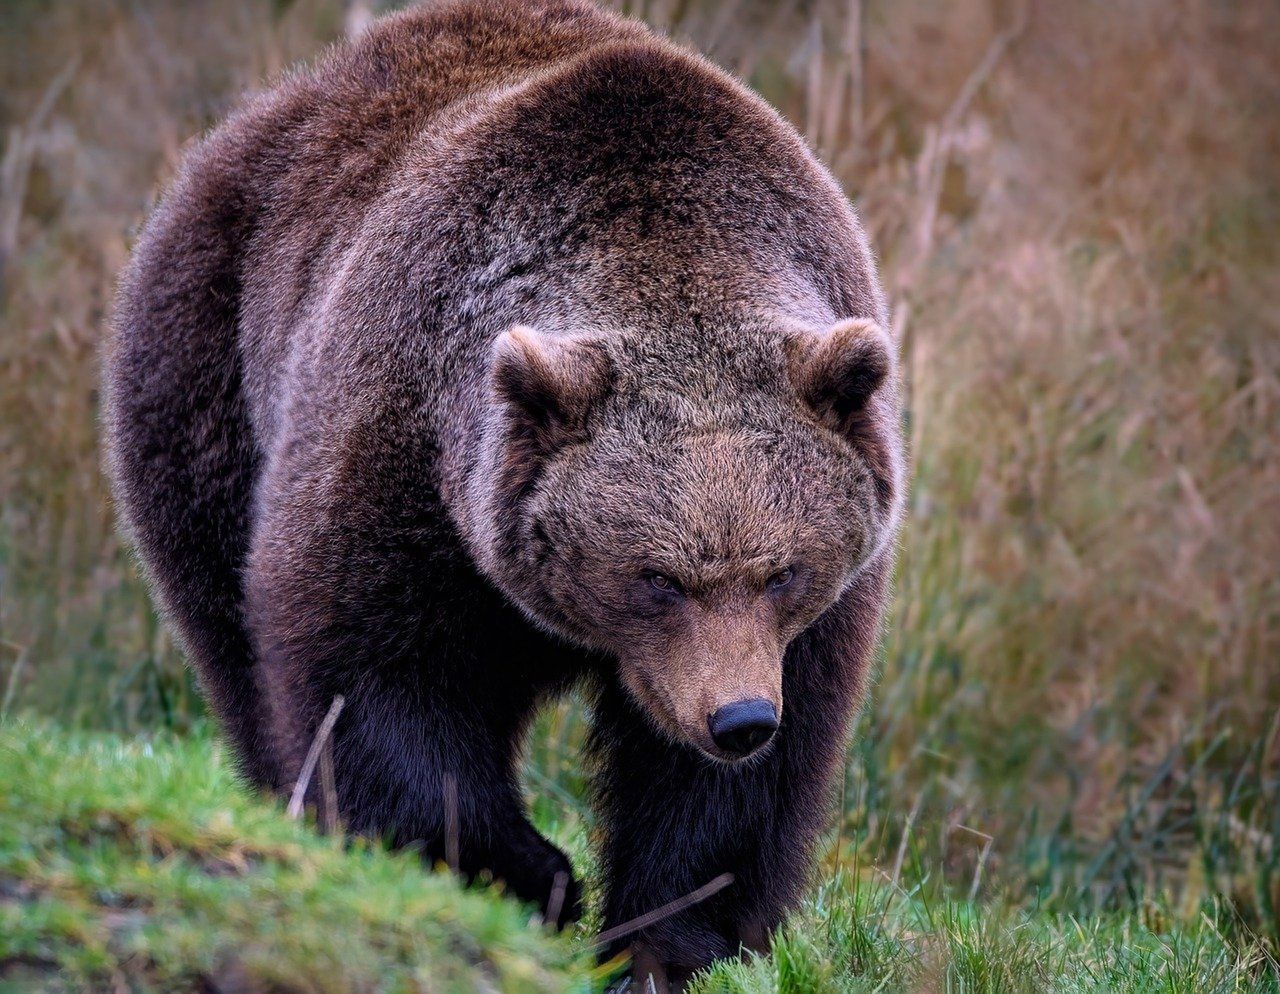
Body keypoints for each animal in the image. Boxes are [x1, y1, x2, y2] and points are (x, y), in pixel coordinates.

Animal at [102, 0, 901, 982]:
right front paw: (529, 875)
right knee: (233, 635)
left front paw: (666, 941)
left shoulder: (809, 620)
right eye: (656, 578)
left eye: (783, 570)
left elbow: (733, 794)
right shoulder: (406, 448)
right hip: (206, 370)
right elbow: (372, 673)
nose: (738, 718)